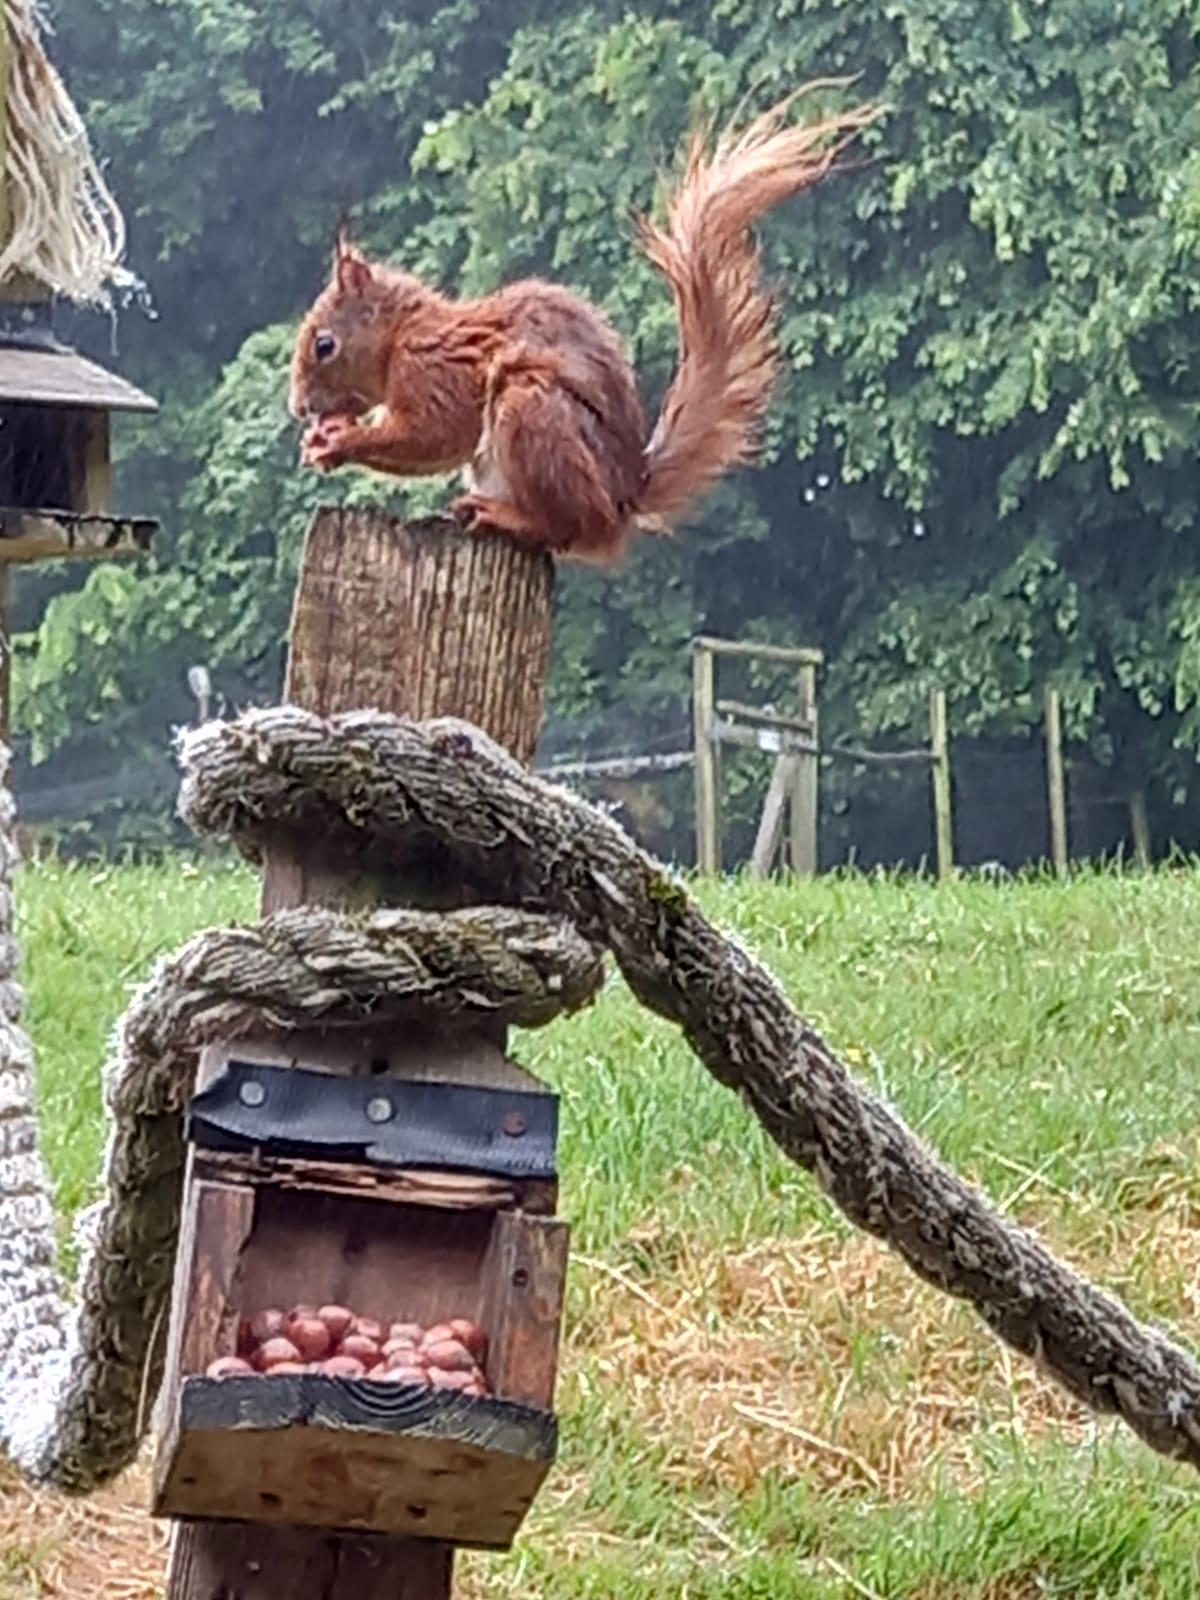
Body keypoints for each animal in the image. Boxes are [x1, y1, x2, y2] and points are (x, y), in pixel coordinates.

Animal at [286, 89, 876, 563]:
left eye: (324, 345)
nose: (299, 409)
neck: (401, 336)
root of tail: (623, 501)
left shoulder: (436, 371)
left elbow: (435, 435)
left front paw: (339, 443)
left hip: (533, 414)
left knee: (569, 530)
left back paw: (506, 517)